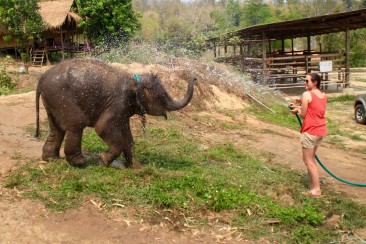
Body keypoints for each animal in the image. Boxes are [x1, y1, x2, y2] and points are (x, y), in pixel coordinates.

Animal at [35, 58, 194, 168]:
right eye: (162, 96)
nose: (194, 76)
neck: (134, 79)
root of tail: (42, 77)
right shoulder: (118, 102)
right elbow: (102, 127)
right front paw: (103, 161)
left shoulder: (123, 109)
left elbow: (127, 136)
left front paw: (136, 167)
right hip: (61, 97)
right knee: (76, 124)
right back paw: (81, 163)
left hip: (52, 101)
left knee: (56, 129)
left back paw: (50, 159)